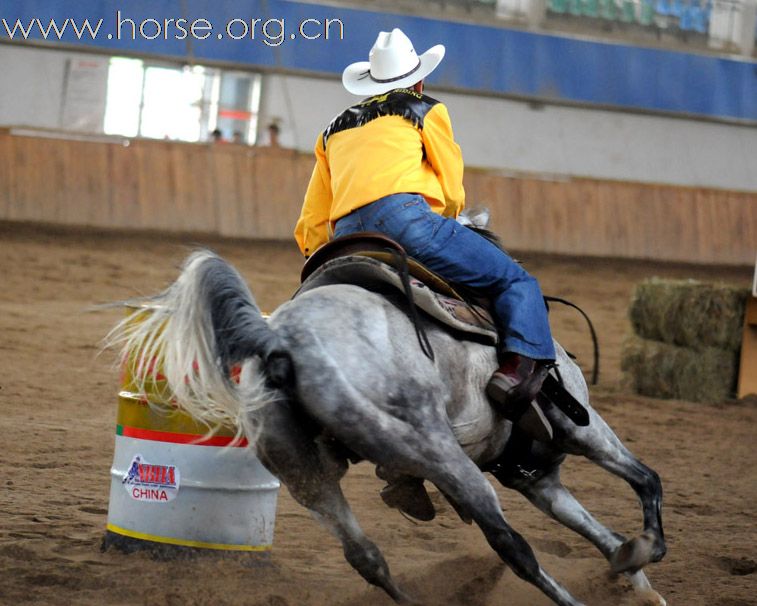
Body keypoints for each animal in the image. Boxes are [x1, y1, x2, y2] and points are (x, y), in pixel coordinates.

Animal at [109, 235, 664, 604]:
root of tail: (281, 340)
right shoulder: (581, 430)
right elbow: (646, 479)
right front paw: (648, 554)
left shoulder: (538, 479)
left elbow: (600, 532)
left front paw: (634, 573)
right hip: (441, 455)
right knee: (512, 546)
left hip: (302, 473)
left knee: (366, 557)